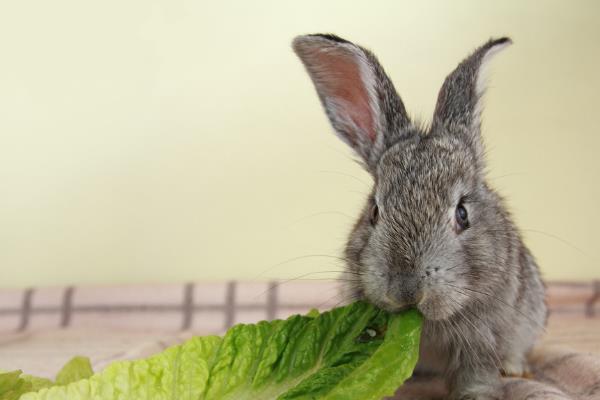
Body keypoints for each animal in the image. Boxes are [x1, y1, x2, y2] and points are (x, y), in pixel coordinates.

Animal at [292, 34, 548, 400]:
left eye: (462, 214)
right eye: (375, 212)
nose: (406, 288)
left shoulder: (482, 333)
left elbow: (477, 372)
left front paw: (476, 394)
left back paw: (515, 368)